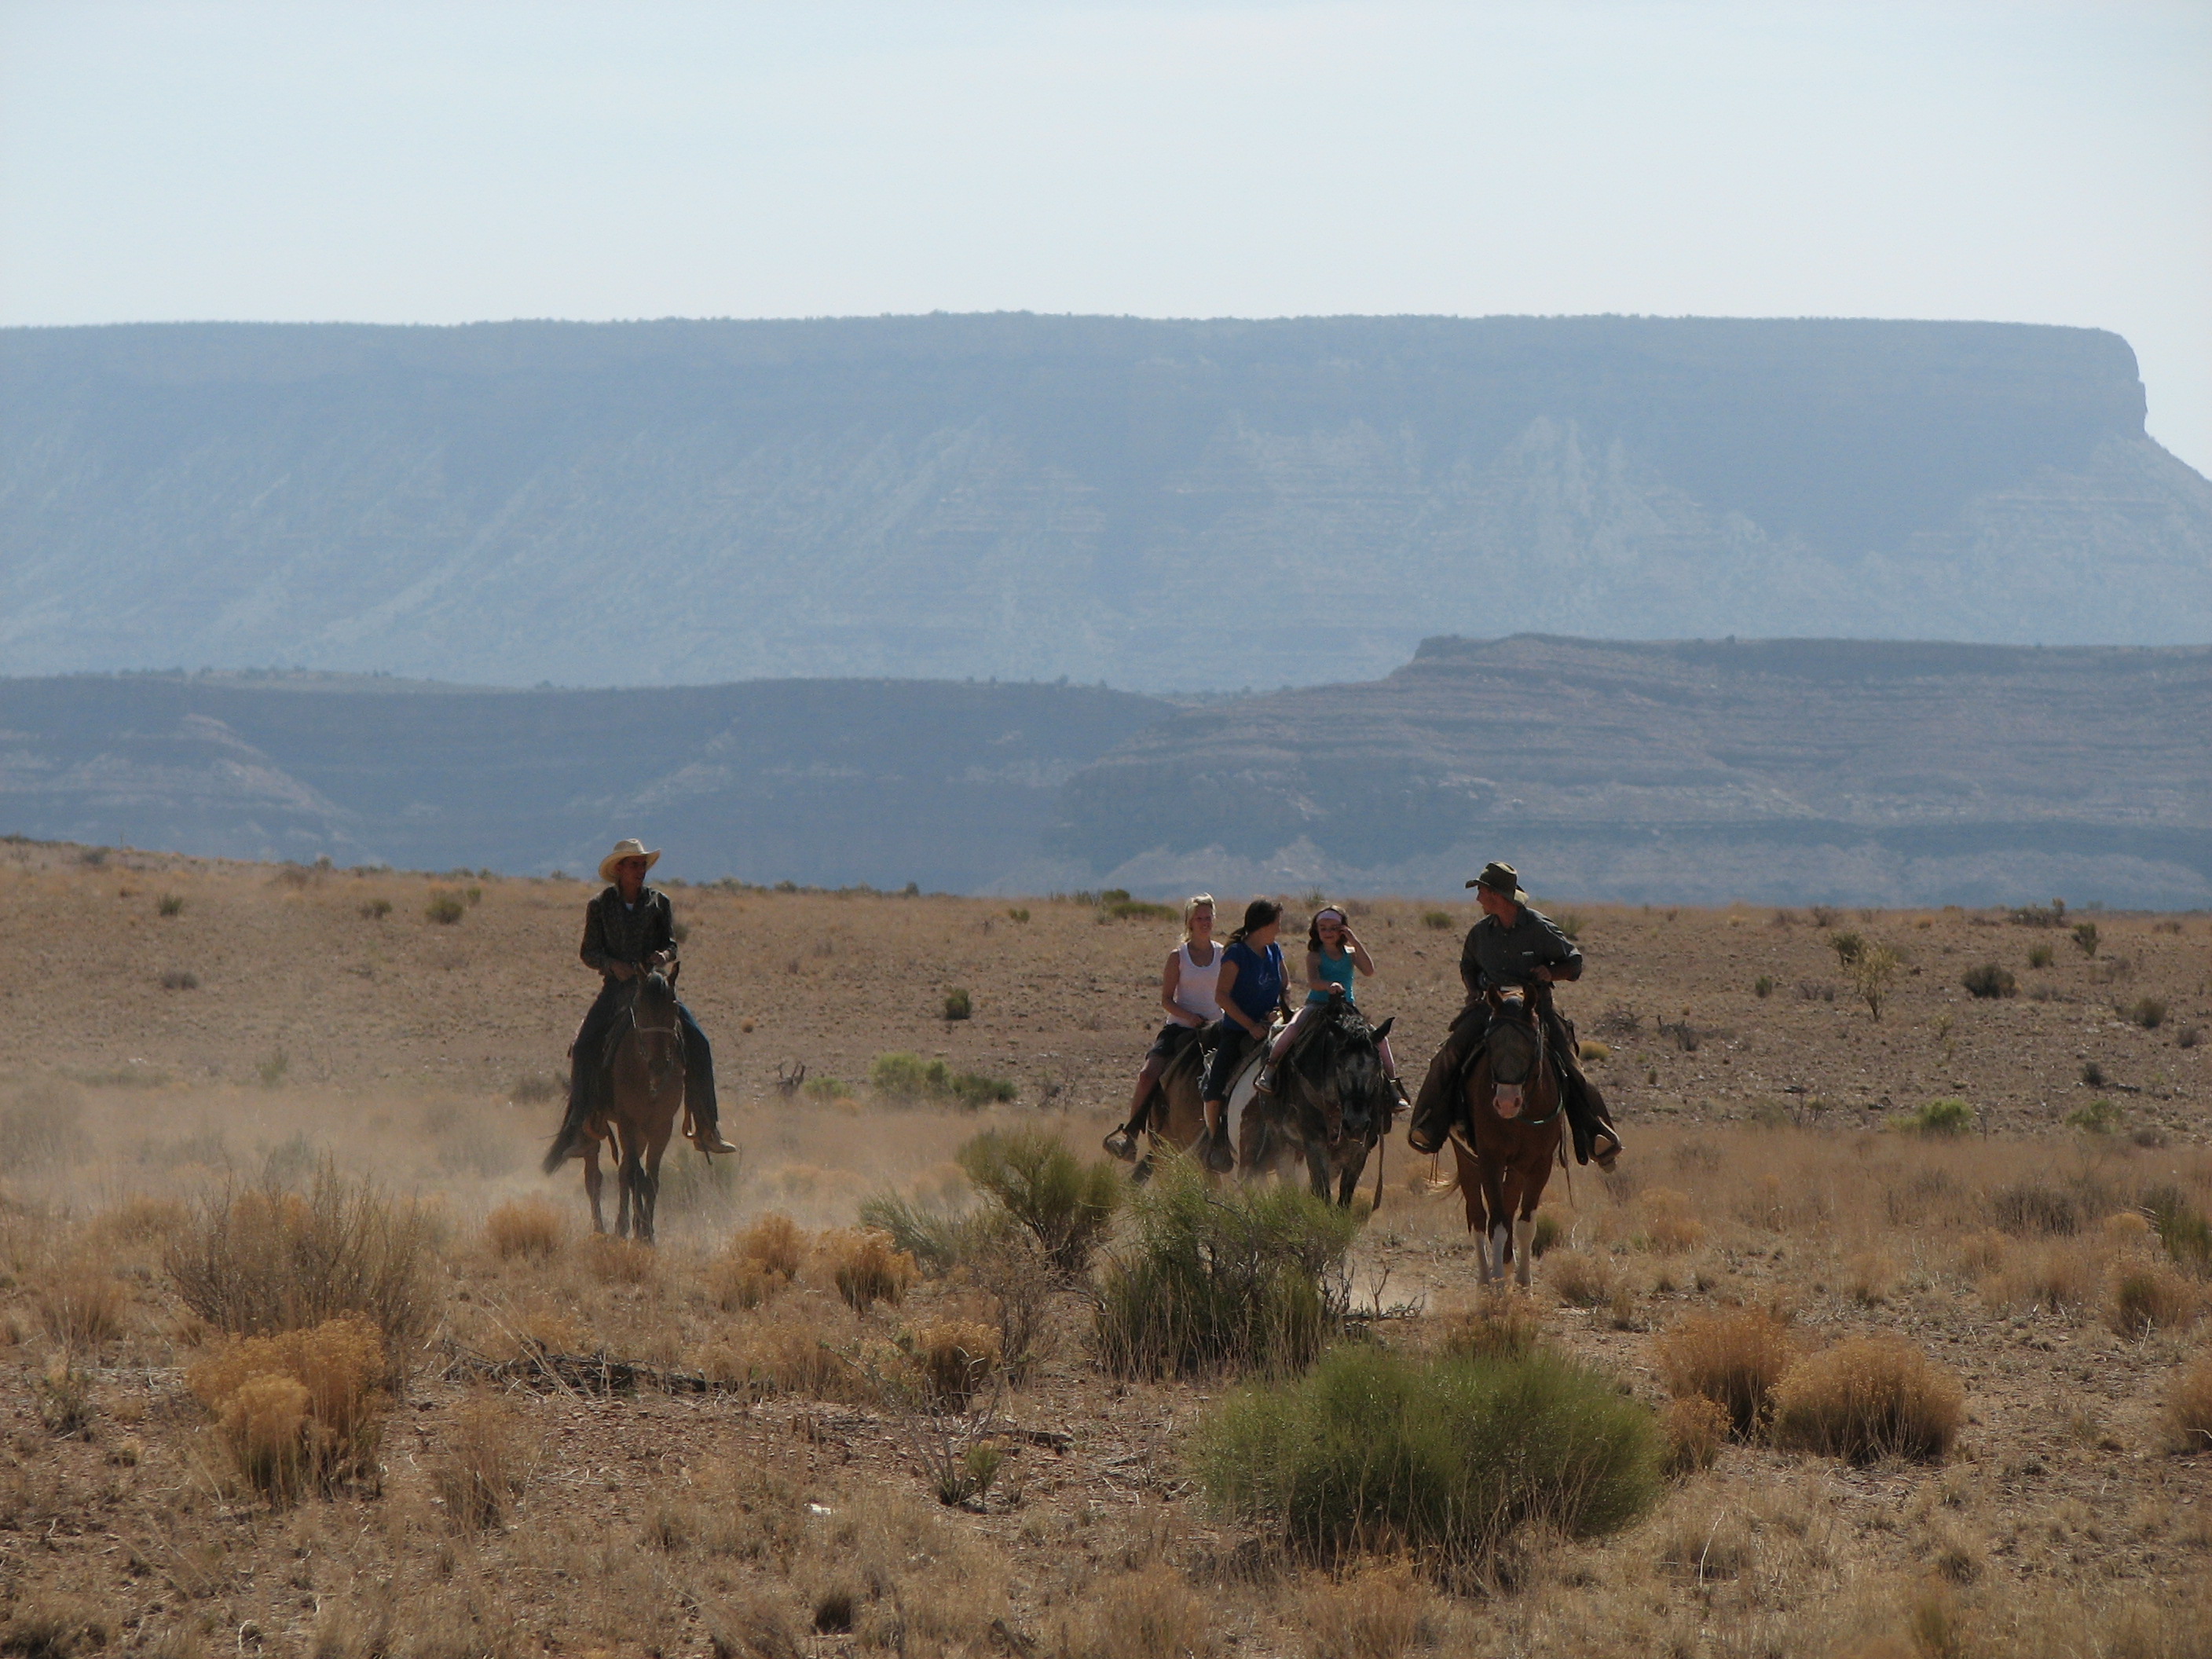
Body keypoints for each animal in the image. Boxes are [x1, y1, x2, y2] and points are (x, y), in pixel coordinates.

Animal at [579, 960, 690, 1247]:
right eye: (640, 1009)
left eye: (673, 1006)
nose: (659, 1064)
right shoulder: (628, 1122)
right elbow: (635, 1176)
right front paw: (641, 1231)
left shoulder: (661, 1125)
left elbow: (650, 1179)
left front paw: (647, 1231)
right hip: (596, 1126)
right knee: (595, 1176)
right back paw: (600, 1227)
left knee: (623, 1172)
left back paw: (622, 1225)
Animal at [1238, 986, 1389, 1212]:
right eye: (1339, 1064)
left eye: (1378, 1066)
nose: (1356, 1123)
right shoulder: (1314, 1144)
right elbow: (1322, 1193)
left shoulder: (1358, 1150)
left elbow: (1343, 1200)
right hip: (1280, 1139)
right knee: (1287, 1179)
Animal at [1442, 995, 1566, 1291]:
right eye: (1488, 1042)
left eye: (1532, 1040)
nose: (1507, 1102)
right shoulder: (1491, 1160)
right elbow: (1496, 1222)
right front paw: (1498, 1283)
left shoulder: (1539, 1164)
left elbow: (1525, 1223)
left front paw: (1523, 1282)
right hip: (1466, 1158)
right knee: (1477, 1217)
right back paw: (1486, 1279)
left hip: (1517, 1168)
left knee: (1509, 1210)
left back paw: (1508, 1265)